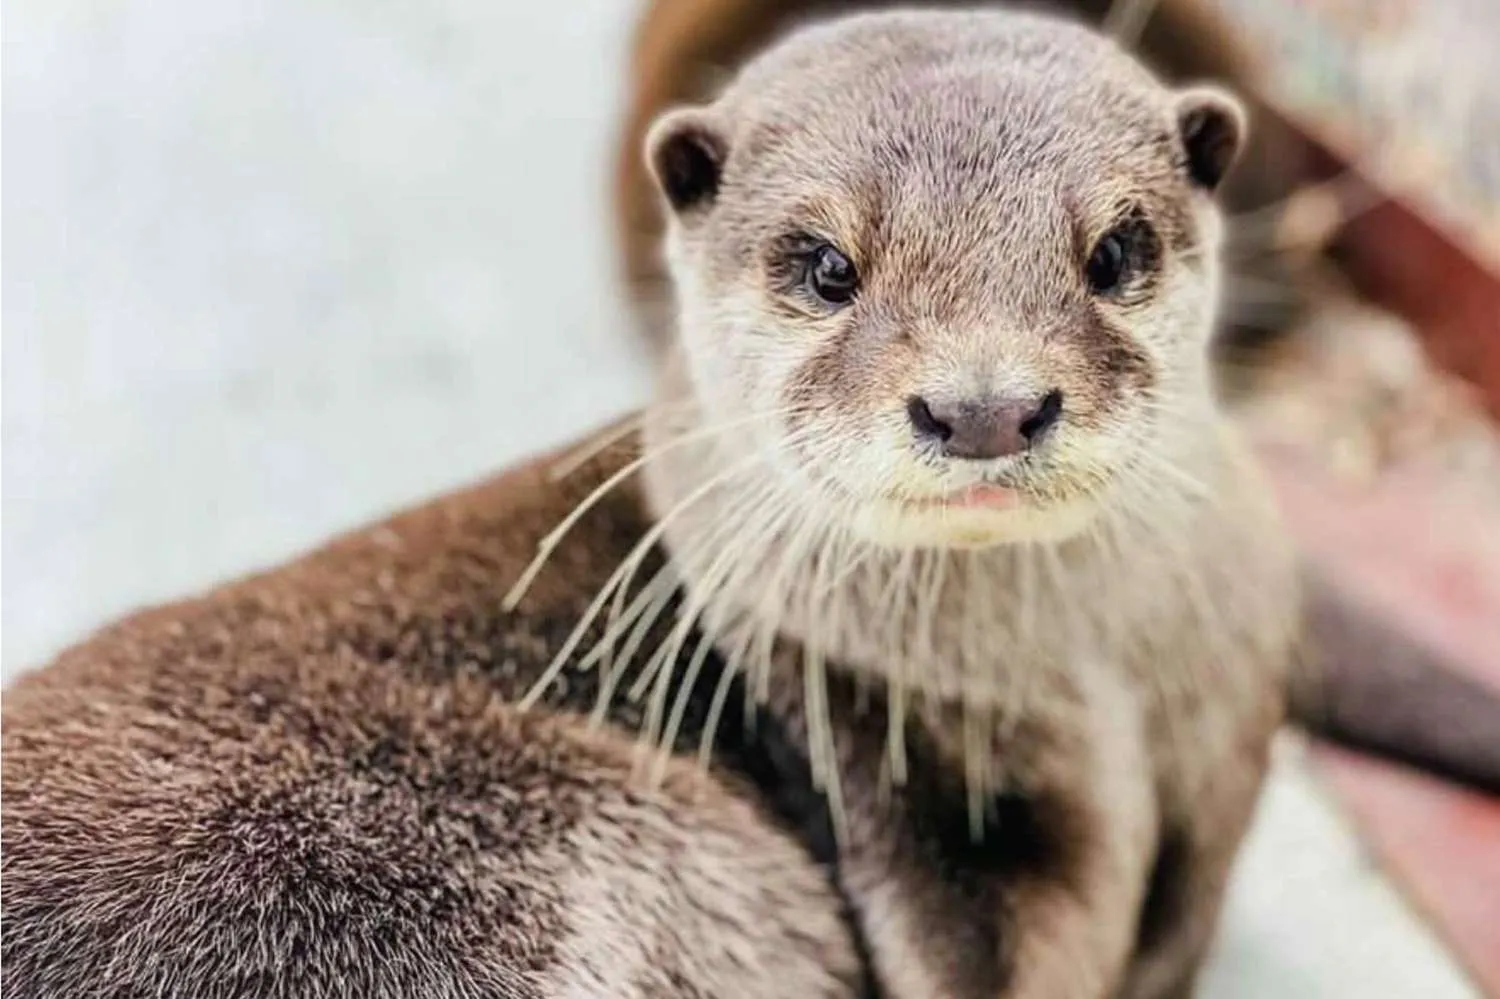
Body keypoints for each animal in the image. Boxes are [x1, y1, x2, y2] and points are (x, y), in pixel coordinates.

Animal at [2, 7, 1500, 996]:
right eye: (827, 265)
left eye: (1118, 250)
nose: (982, 405)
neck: (1095, 689)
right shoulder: (907, 795)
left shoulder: (1228, 722)